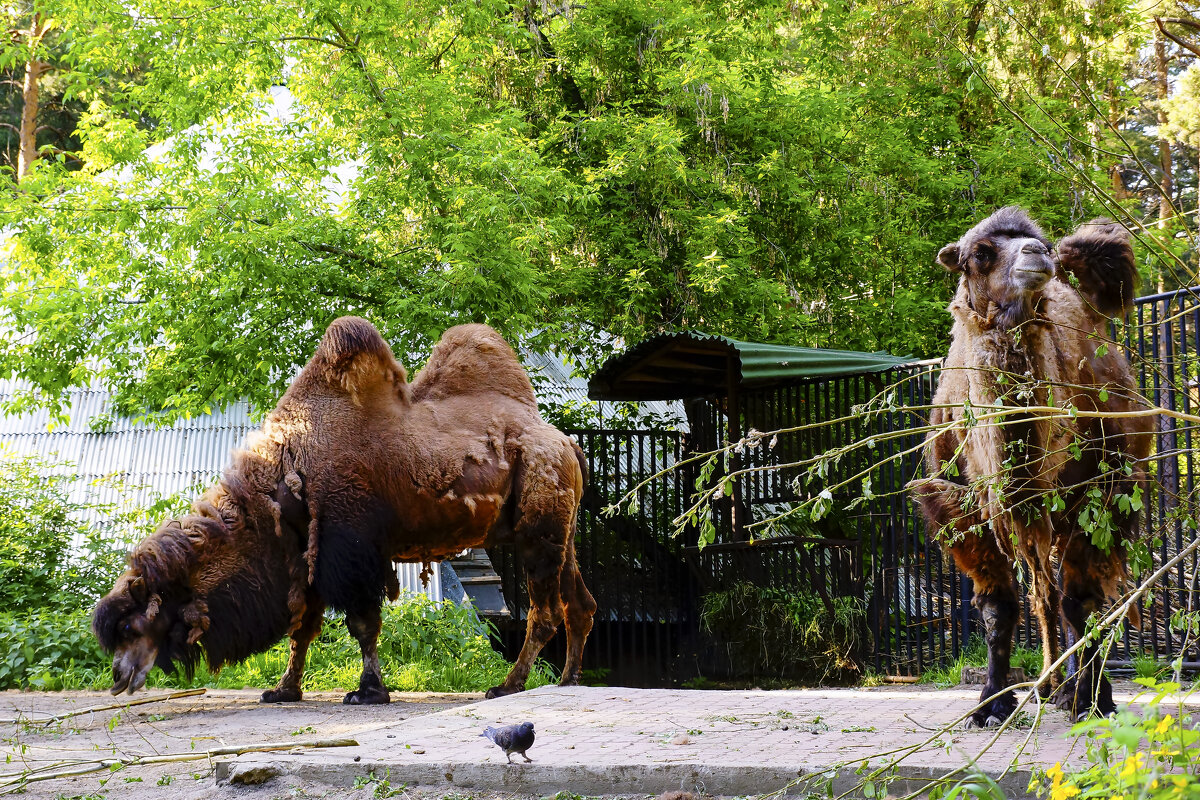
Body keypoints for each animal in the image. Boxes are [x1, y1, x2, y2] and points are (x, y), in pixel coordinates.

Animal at [92, 316, 595, 705]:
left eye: (133, 623)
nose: (117, 677)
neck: (281, 485)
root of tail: (566, 443)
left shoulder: (348, 549)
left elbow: (361, 624)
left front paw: (368, 691)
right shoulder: (308, 556)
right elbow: (303, 629)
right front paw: (283, 690)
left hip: (538, 534)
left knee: (545, 612)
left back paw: (507, 686)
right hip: (562, 533)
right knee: (580, 604)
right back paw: (568, 680)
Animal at [907, 206, 1152, 724]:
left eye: (1040, 241)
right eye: (979, 254)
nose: (1038, 254)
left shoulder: (1097, 496)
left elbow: (1081, 602)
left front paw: (1090, 699)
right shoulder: (962, 506)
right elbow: (998, 608)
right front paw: (992, 703)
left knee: (1070, 597)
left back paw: (1071, 689)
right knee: (1043, 594)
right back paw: (1048, 685)